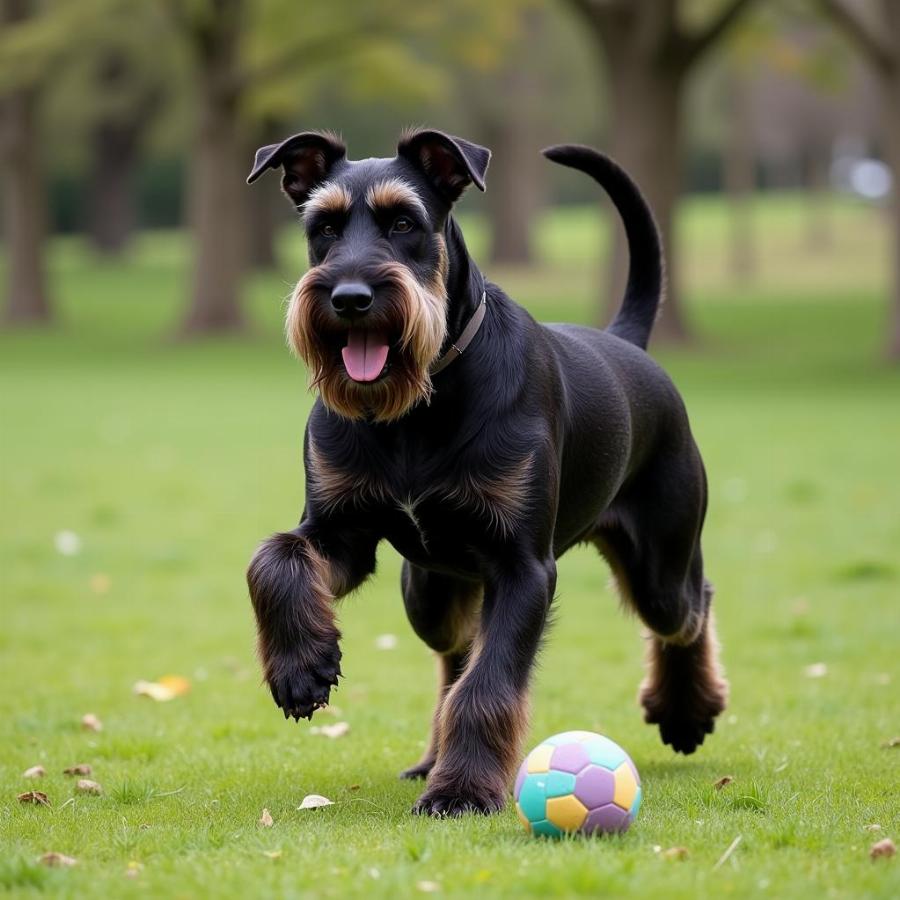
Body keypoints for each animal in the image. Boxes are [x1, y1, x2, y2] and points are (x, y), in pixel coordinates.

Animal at [246, 132, 732, 816]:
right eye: (324, 228)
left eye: (405, 223)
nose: (349, 299)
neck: (420, 405)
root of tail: (626, 343)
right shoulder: (340, 535)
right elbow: (273, 558)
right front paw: (300, 668)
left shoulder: (522, 567)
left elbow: (489, 684)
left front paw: (464, 791)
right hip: (429, 594)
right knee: (454, 657)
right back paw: (431, 756)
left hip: (660, 567)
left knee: (691, 607)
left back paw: (686, 710)